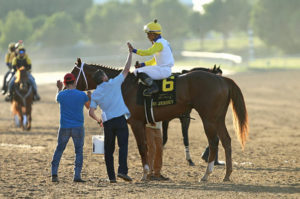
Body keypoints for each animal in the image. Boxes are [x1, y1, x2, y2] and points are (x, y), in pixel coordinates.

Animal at [71, 58, 248, 181]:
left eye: (72, 74)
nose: (67, 86)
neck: (124, 86)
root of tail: (222, 80)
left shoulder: (136, 123)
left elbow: (142, 147)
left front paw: (144, 174)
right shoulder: (146, 123)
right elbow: (151, 147)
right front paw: (149, 173)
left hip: (209, 118)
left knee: (213, 142)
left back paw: (206, 174)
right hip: (218, 118)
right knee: (226, 140)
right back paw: (227, 174)